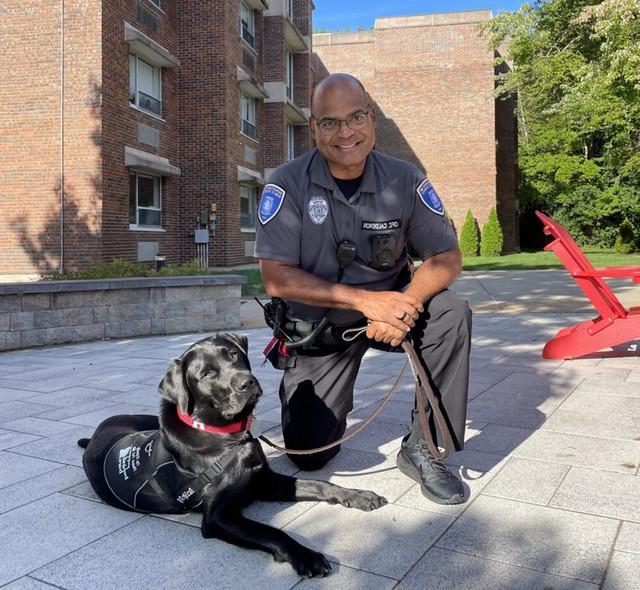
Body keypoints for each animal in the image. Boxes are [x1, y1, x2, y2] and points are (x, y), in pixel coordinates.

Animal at [77, 336, 388, 580]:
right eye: (206, 374)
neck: (226, 435)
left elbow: (321, 485)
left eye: (234, 355)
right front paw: (307, 556)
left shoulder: (264, 481)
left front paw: (357, 495)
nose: (246, 382)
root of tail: (97, 433)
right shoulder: (218, 516)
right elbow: (272, 532)